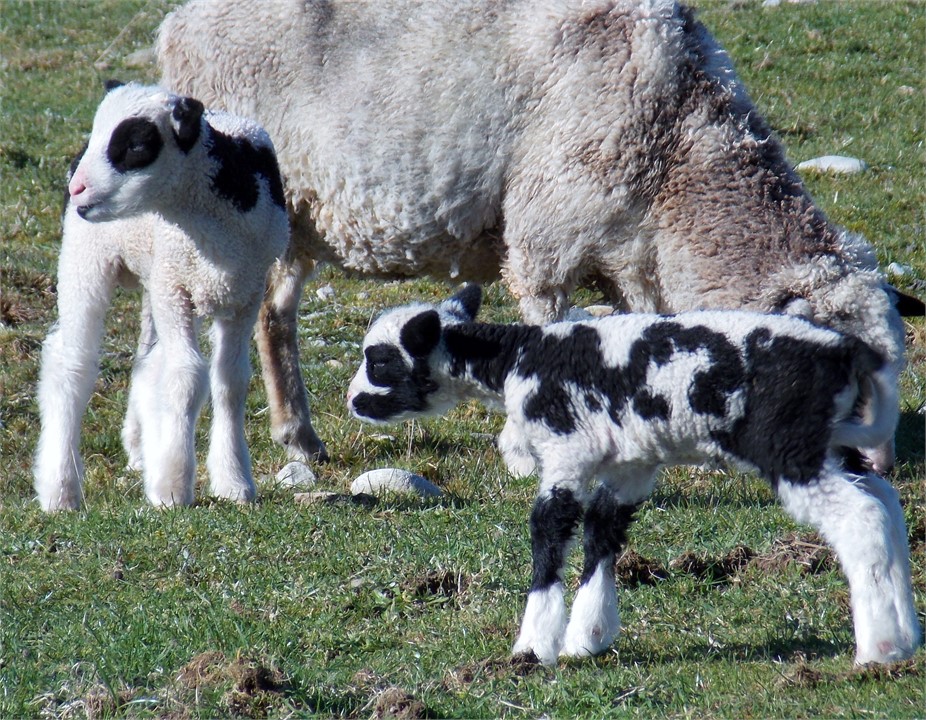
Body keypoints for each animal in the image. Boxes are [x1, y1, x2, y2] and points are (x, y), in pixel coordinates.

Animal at [33, 82, 289, 511]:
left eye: (135, 143)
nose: (77, 187)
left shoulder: (245, 293)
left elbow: (230, 381)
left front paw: (234, 481)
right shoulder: (176, 288)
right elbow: (185, 376)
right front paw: (172, 488)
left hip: (156, 275)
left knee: (148, 364)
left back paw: (142, 452)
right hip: (86, 257)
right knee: (72, 363)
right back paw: (61, 489)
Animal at [156, 0, 923, 475]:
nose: (875, 466)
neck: (678, 158)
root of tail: (176, 24)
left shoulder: (631, 262)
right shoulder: (546, 240)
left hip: (296, 226)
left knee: (275, 314)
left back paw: (301, 436)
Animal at [346, 285, 922, 666]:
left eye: (379, 361)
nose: (352, 401)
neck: (514, 361)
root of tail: (846, 350)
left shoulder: (565, 452)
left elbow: (548, 535)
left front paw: (533, 648)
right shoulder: (631, 466)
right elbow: (603, 534)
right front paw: (588, 637)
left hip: (789, 447)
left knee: (862, 518)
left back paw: (879, 648)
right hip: (833, 442)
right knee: (887, 505)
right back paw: (907, 634)